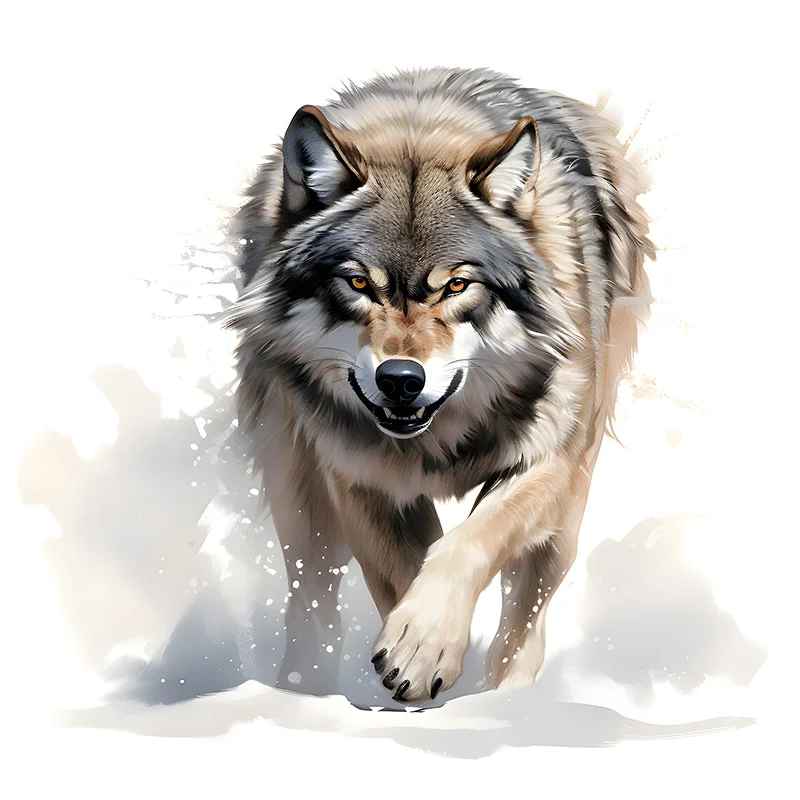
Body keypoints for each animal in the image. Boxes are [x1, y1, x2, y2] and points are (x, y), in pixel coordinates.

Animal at [227, 67, 654, 703]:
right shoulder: (359, 478)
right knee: (311, 597)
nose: (401, 380)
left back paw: (509, 700)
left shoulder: (548, 460)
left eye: (456, 286)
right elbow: (403, 573)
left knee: (524, 616)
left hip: (563, 524)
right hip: (296, 488)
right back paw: (302, 691)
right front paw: (417, 658)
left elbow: (467, 543)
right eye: (358, 283)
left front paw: (424, 646)